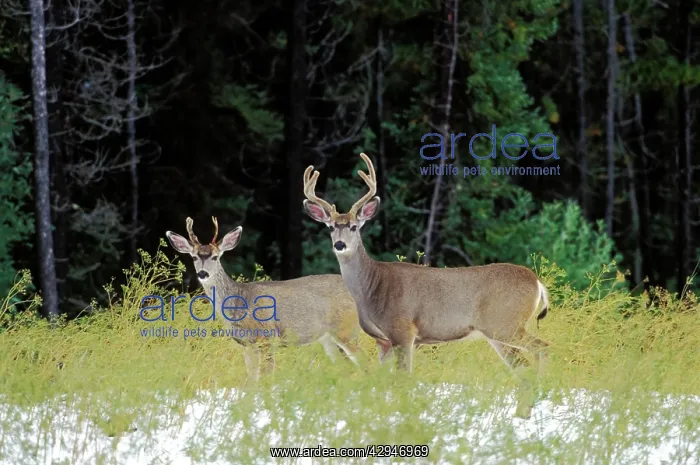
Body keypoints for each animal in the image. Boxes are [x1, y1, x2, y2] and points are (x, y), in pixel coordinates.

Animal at [165, 216, 361, 381]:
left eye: (215, 256)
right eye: (194, 256)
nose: (203, 273)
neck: (238, 303)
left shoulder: (267, 337)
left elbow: (265, 377)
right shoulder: (246, 344)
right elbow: (252, 379)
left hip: (346, 329)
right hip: (328, 338)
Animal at [301, 153, 551, 418]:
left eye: (354, 226)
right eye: (330, 227)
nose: (339, 245)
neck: (371, 289)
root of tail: (537, 282)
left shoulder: (403, 331)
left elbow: (404, 379)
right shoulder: (383, 340)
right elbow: (382, 380)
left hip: (506, 324)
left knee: (542, 349)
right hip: (499, 332)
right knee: (523, 366)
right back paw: (523, 413)